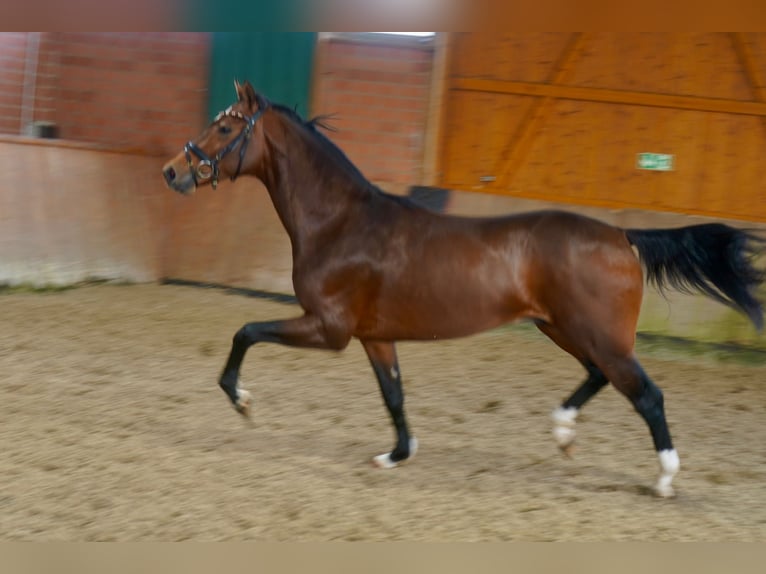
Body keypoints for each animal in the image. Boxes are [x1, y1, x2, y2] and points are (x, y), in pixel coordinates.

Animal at [160, 81, 760, 500]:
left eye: (225, 128)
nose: (171, 172)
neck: (342, 223)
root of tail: (622, 235)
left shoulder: (327, 328)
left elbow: (245, 331)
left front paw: (242, 400)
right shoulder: (374, 336)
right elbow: (394, 395)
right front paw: (396, 455)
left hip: (596, 334)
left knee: (646, 394)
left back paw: (663, 480)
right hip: (564, 327)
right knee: (601, 376)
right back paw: (563, 431)